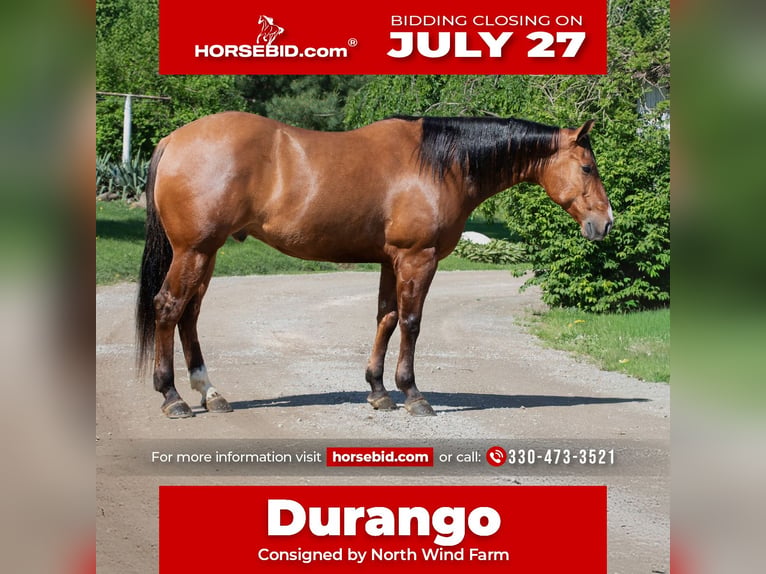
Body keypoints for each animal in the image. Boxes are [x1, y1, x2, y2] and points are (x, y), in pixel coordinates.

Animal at [136, 113, 613, 418]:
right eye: (587, 167)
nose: (605, 223)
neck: (441, 164)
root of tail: (173, 140)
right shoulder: (418, 259)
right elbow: (411, 323)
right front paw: (413, 394)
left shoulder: (391, 259)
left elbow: (385, 318)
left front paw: (379, 392)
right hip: (194, 251)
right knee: (168, 308)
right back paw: (173, 397)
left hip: (206, 253)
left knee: (189, 315)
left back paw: (210, 393)